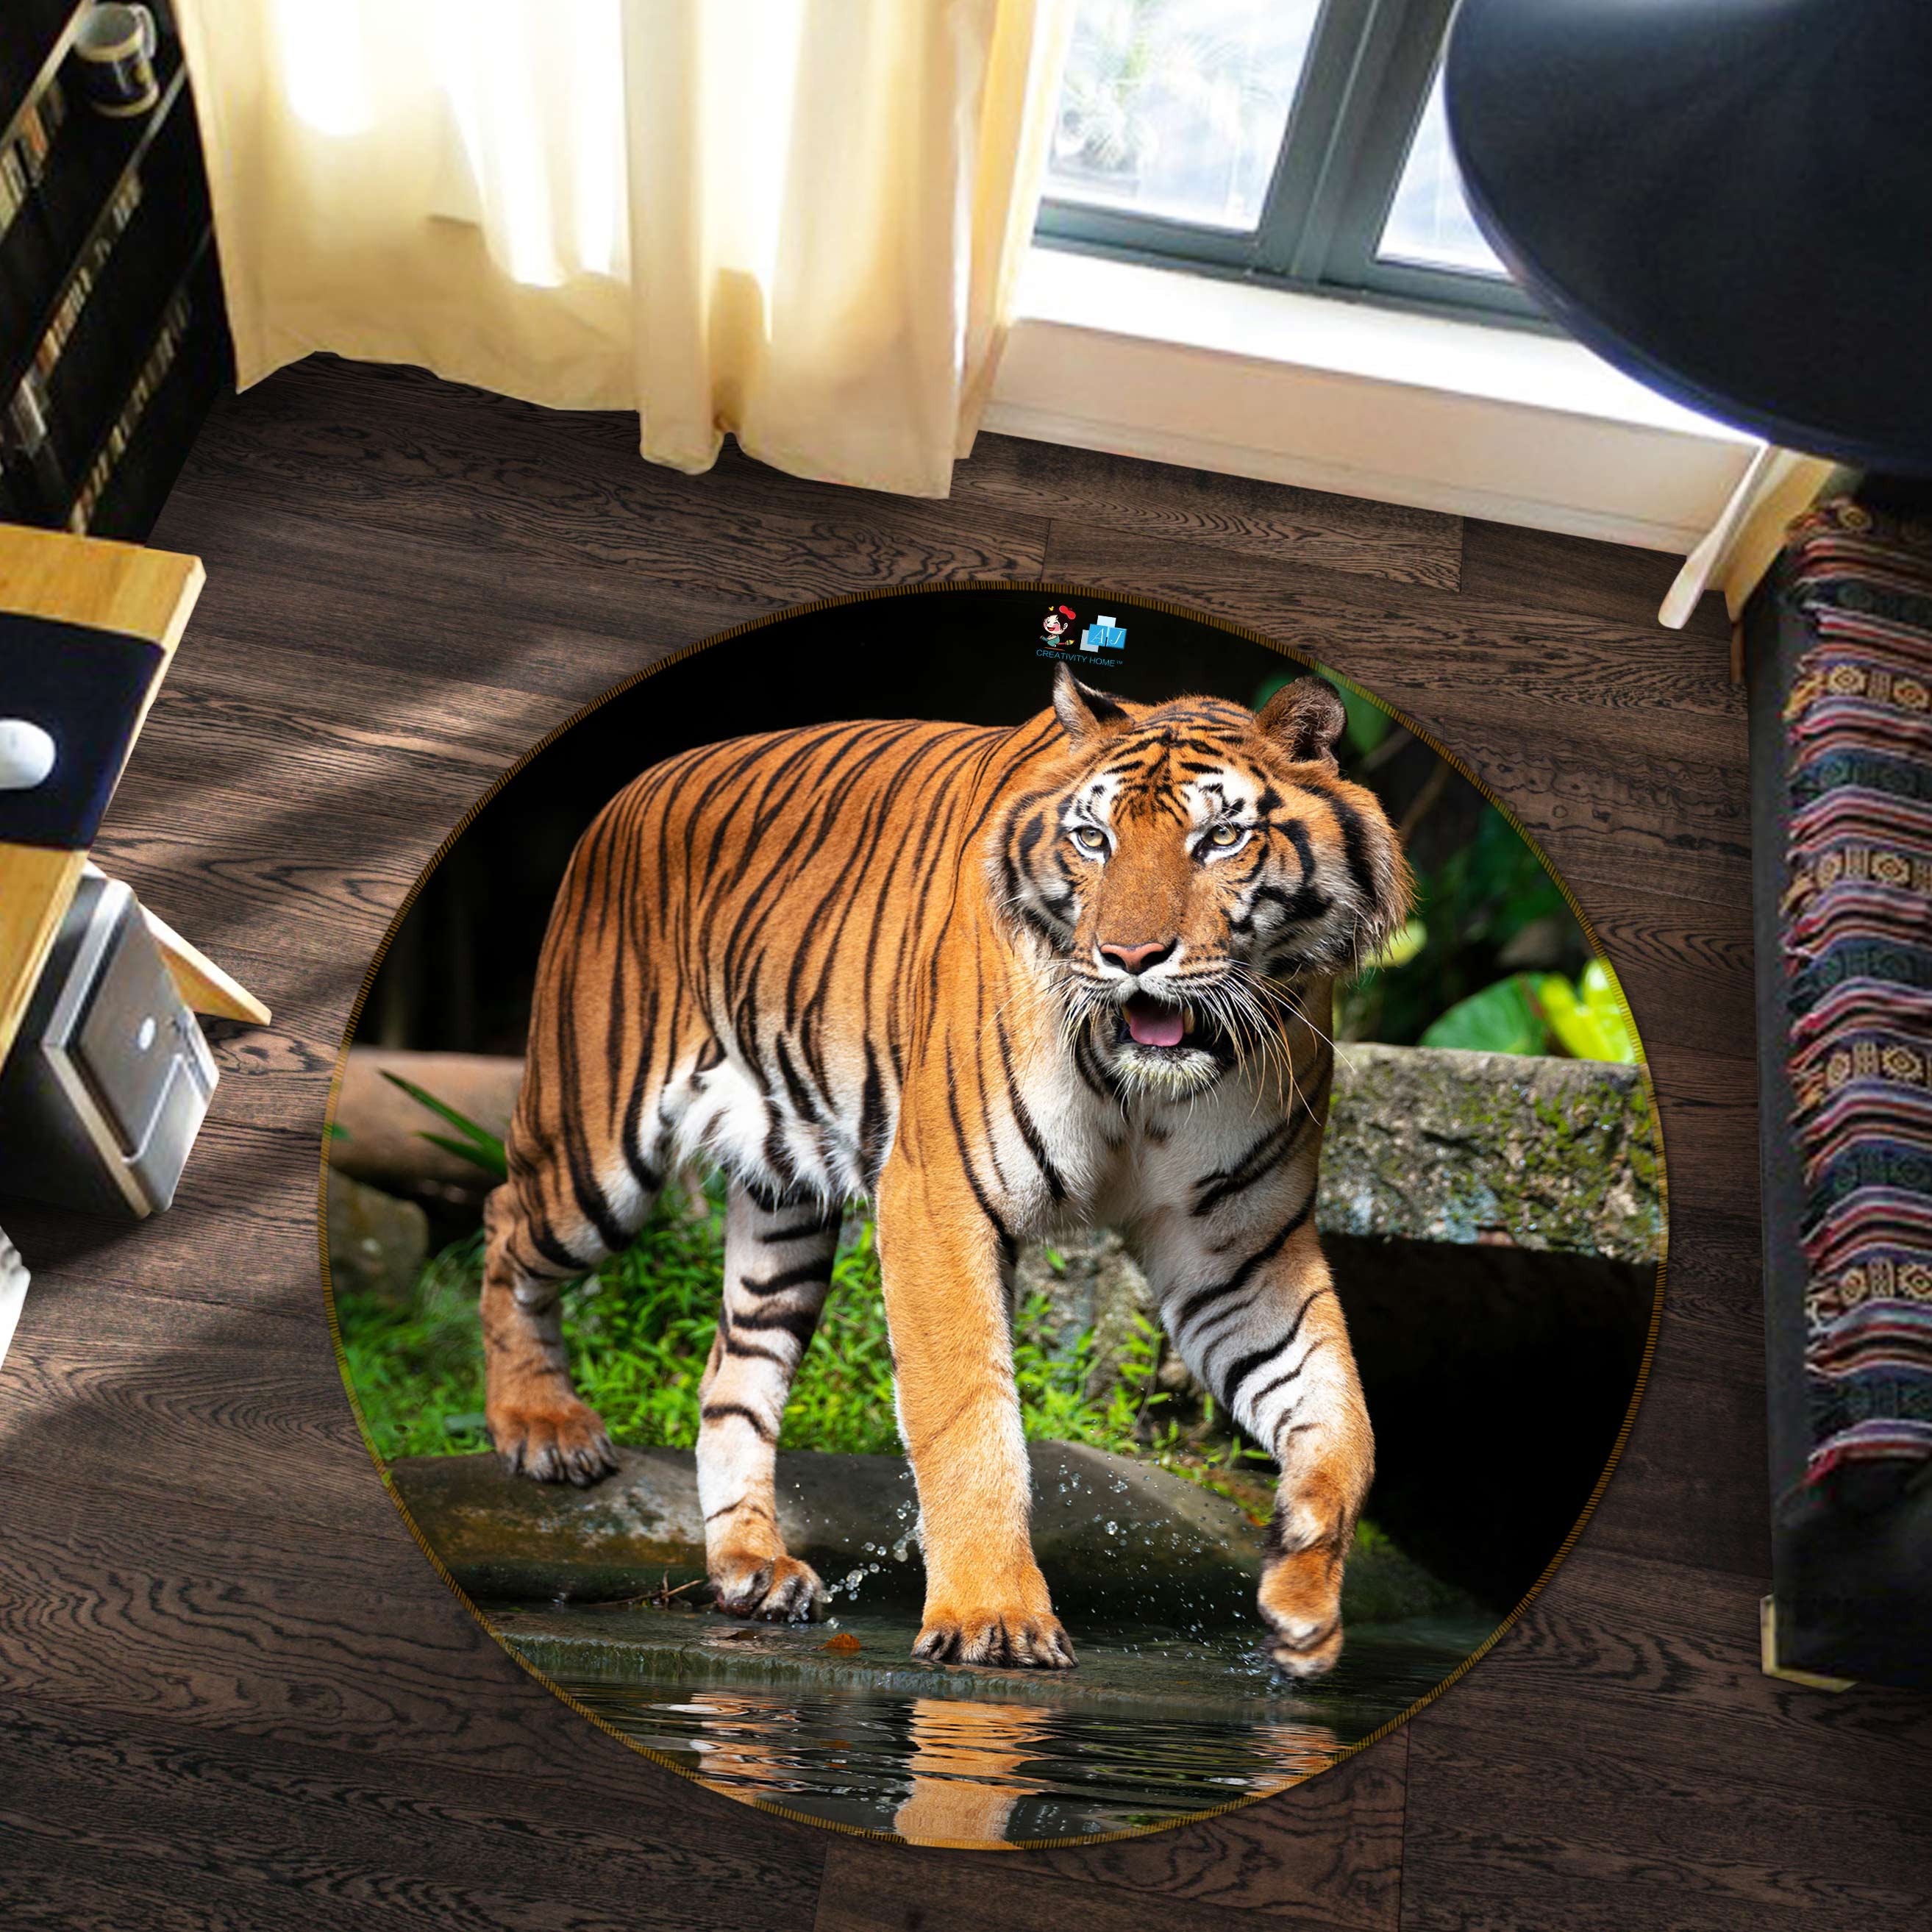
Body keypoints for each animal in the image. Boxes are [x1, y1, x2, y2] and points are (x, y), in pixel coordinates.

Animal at [479, 665, 1411, 1677]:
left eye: (1220, 838)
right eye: (1094, 838)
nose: (1127, 958)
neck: (1145, 1085)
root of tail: (632, 787)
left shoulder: (1235, 1251)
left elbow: (1342, 1418)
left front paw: (1303, 1593)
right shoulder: (937, 1198)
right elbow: (969, 1418)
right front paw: (991, 1616)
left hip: (783, 1203)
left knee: (731, 1371)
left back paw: (750, 1564)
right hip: (594, 1142)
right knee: (503, 1221)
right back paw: (541, 1426)